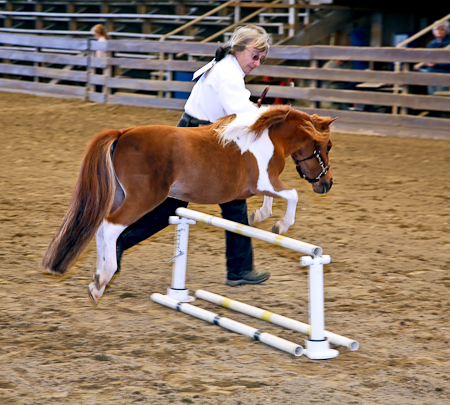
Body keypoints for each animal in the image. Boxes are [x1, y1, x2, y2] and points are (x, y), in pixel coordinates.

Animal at [42, 105, 336, 302]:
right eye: (328, 146)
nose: (327, 184)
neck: (264, 138)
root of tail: (123, 134)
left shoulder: (265, 184)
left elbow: (271, 200)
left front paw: (258, 216)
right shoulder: (265, 181)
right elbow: (292, 195)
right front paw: (280, 226)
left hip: (122, 196)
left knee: (104, 230)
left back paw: (99, 279)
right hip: (143, 198)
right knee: (110, 227)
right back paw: (103, 278)